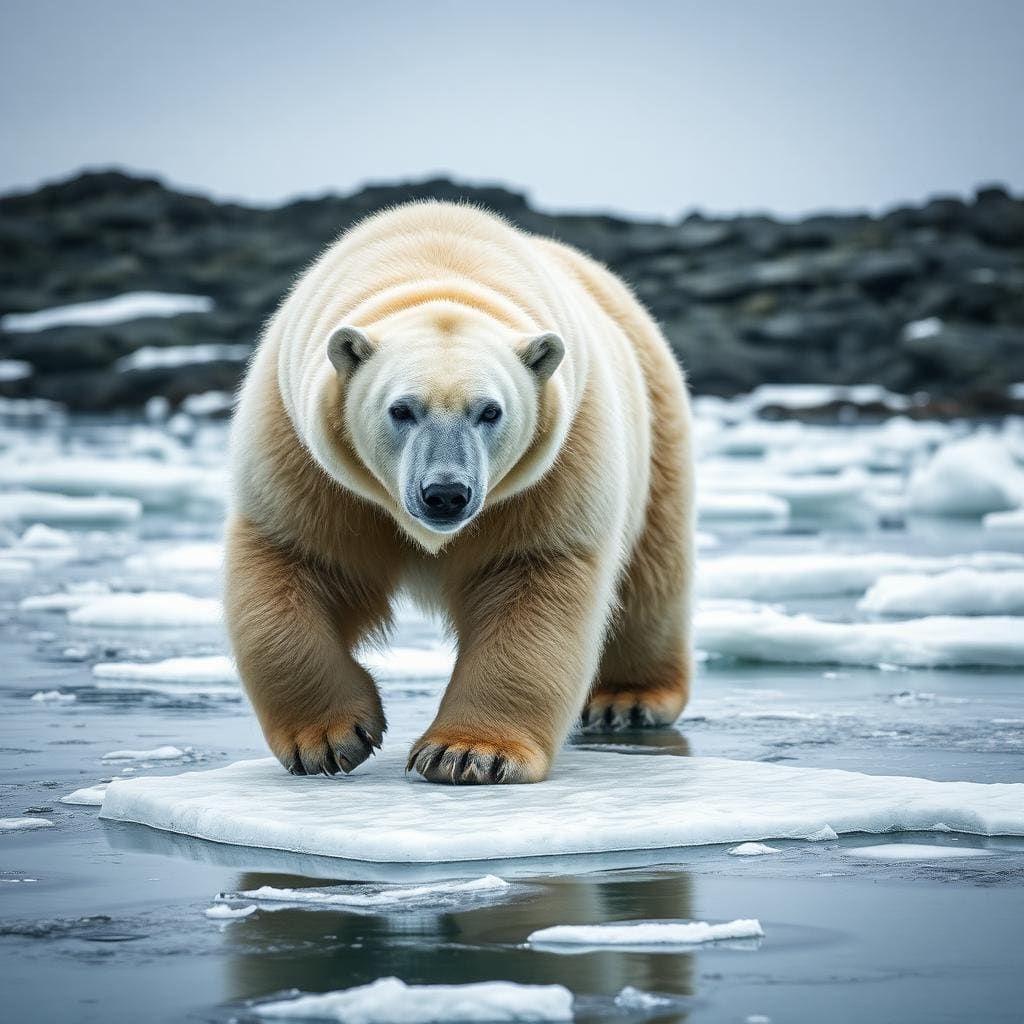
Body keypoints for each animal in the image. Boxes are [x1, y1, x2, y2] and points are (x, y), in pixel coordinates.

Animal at [224, 200, 694, 784]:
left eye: (489, 410)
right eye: (402, 409)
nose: (445, 493)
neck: (440, 269)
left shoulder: (557, 466)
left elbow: (532, 581)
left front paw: (469, 754)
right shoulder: (302, 455)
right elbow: (295, 561)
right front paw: (330, 741)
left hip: (656, 421)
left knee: (651, 576)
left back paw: (626, 699)